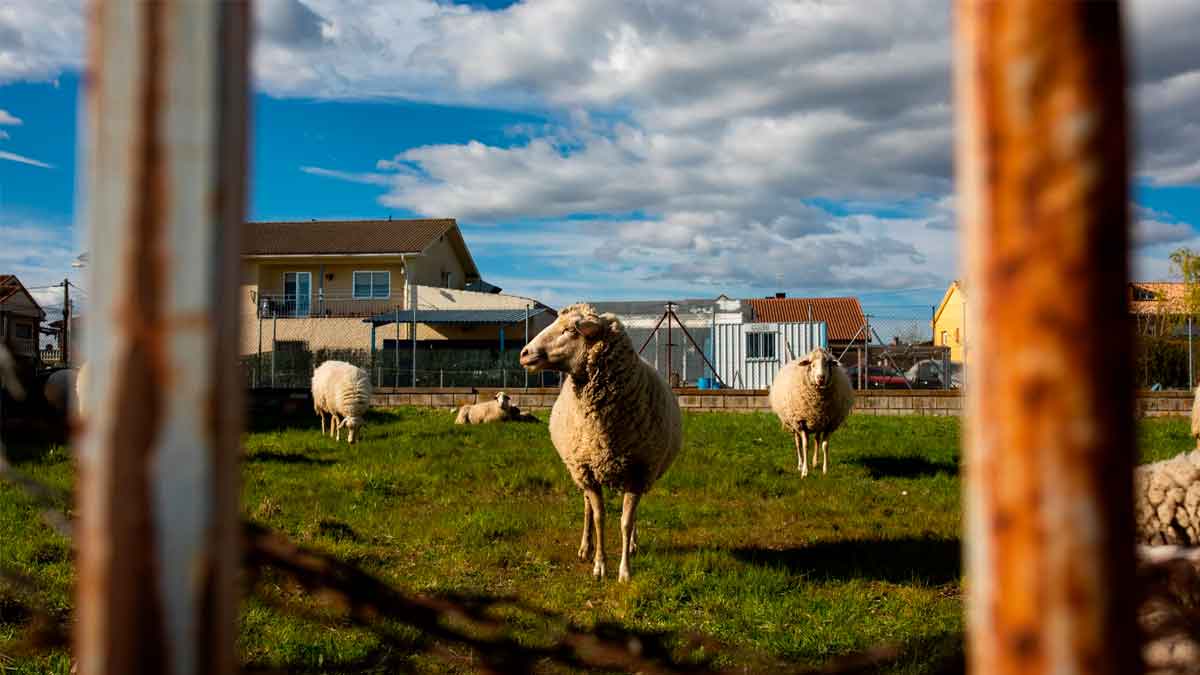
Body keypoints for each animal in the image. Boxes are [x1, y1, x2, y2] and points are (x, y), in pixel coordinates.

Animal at [518, 300, 681, 578]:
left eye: (570, 330)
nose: (524, 352)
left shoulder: (639, 472)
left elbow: (626, 521)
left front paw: (624, 571)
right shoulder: (586, 470)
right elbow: (598, 517)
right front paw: (599, 564)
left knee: (631, 514)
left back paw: (633, 544)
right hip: (580, 470)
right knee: (587, 508)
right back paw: (586, 547)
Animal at [768, 345, 854, 478]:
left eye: (827, 363)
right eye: (812, 365)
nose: (821, 378)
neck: (818, 402)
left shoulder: (829, 423)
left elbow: (825, 445)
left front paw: (825, 470)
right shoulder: (801, 421)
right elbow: (805, 445)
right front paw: (805, 471)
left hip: (818, 422)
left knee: (817, 440)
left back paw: (815, 462)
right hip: (794, 423)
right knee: (798, 443)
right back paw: (800, 464)